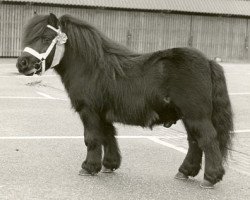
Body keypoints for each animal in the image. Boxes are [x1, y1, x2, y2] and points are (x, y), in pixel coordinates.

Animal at [16, 13, 233, 188]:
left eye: (45, 38)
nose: (22, 63)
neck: (91, 67)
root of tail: (209, 61)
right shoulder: (102, 113)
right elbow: (108, 135)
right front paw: (109, 165)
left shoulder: (89, 111)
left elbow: (92, 138)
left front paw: (88, 167)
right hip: (188, 116)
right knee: (194, 141)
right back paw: (185, 171)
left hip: (196, 115)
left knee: (207, 140)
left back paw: (210, 178)